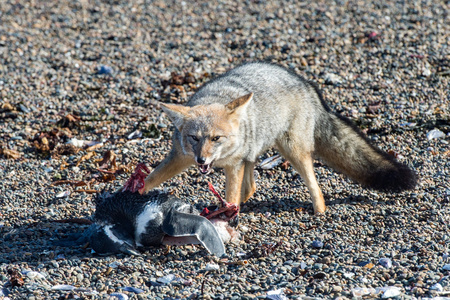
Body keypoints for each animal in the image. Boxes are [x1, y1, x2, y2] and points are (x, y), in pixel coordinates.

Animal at [141, 62, 414, 214]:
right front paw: (133, 192)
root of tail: (308, 85)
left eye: (216, 138)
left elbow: (231, 194)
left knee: (316, 189)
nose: (201, 160)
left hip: (292, 152)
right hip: (253, 153)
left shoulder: (233, 165)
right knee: (250, 187)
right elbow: (152, 178)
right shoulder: (181, 156)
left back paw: (319, 213)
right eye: (194, 138)